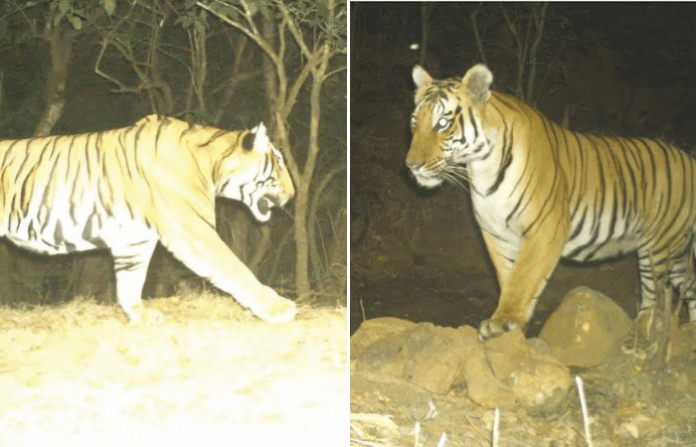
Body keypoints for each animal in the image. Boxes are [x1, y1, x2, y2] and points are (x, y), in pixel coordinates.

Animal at [0, 114, 296, 324]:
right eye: (279, 162)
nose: (293, 194)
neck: (211, 164)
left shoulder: (133, 239)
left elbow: (130, 280)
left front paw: (139, 315)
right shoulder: (194, 229)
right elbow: (235, 267)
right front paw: (279, 308)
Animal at [406, 64, 696, 341]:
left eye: (442, 123)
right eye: (414, 123)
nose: (411, 165)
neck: (482, 169)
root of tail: (687, 157)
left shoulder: (544, 228)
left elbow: (523, 276)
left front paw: (503, 322)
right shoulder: (496, 233)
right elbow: (507, 276)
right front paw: (513, 323)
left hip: (656, 248)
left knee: (655, 297)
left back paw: (642, 334)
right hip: (675, 249)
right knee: (689, 285)